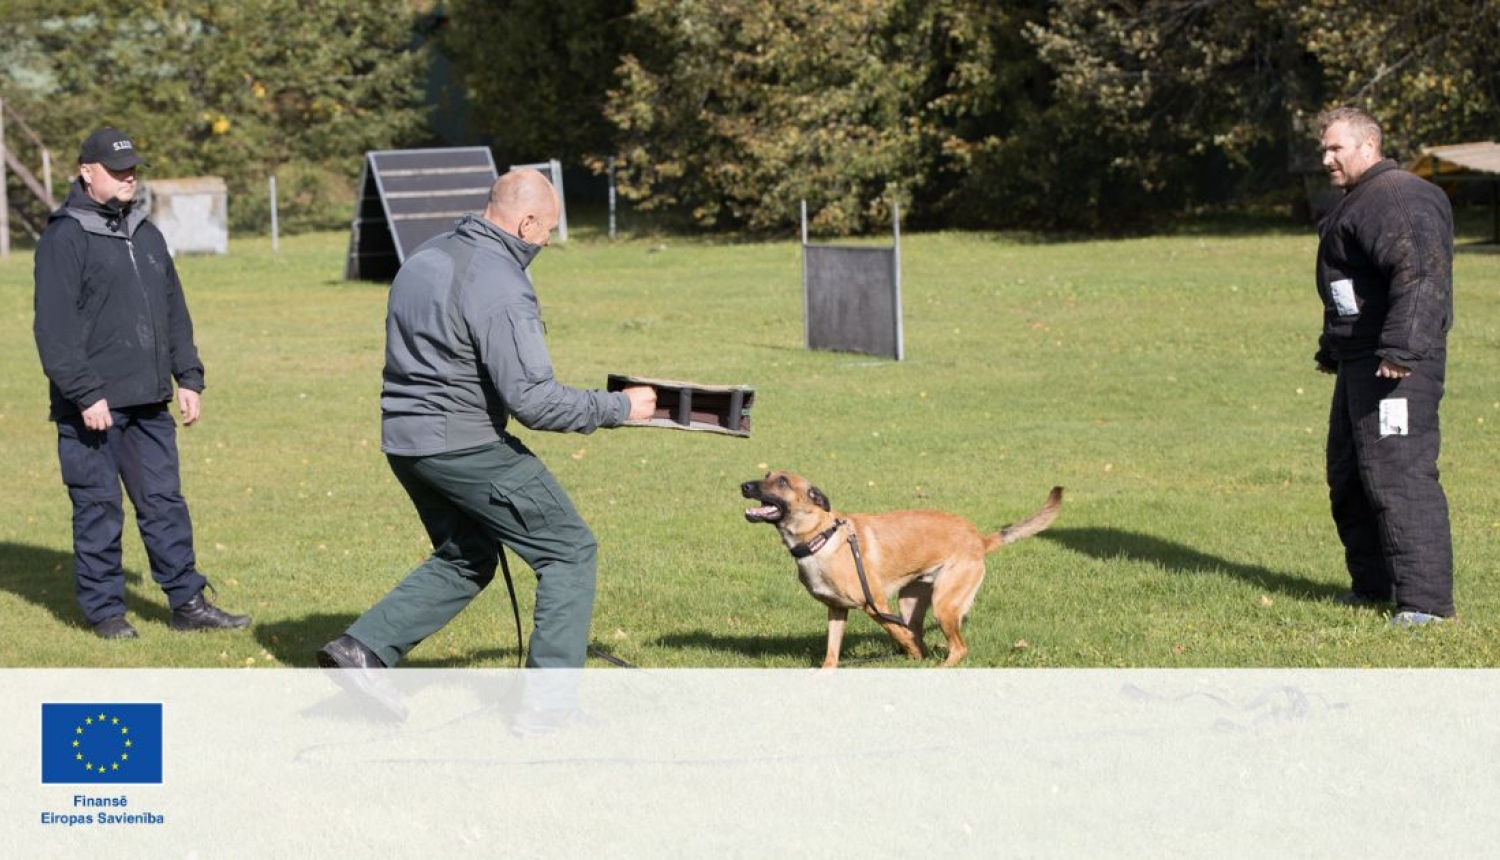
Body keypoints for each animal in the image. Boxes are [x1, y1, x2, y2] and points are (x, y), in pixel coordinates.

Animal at [744, 474, 1062, 666]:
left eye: (782, 481)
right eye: (767, 474)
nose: (744, 486)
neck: (821, 537)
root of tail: (978, 538)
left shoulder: (875, 604)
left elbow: (899, 634)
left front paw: (912, 651)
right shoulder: (837, 609)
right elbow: (832, 653)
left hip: (944, 605)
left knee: (957, 648)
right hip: (911, 602)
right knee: (920, 632)